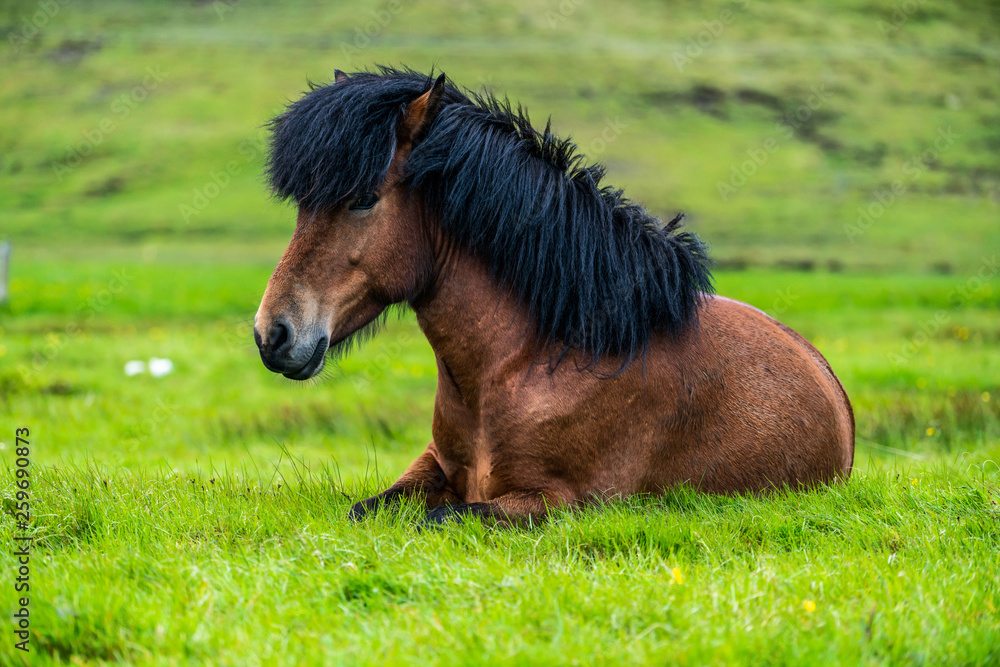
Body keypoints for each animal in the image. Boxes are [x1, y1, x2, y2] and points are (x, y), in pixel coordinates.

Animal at [254, 68, 856, 528]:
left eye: (363, 198)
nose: (272, 333)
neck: (529, 360)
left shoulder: (562, 501)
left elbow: (443, 517)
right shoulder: (431, 466)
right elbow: (366, 508)